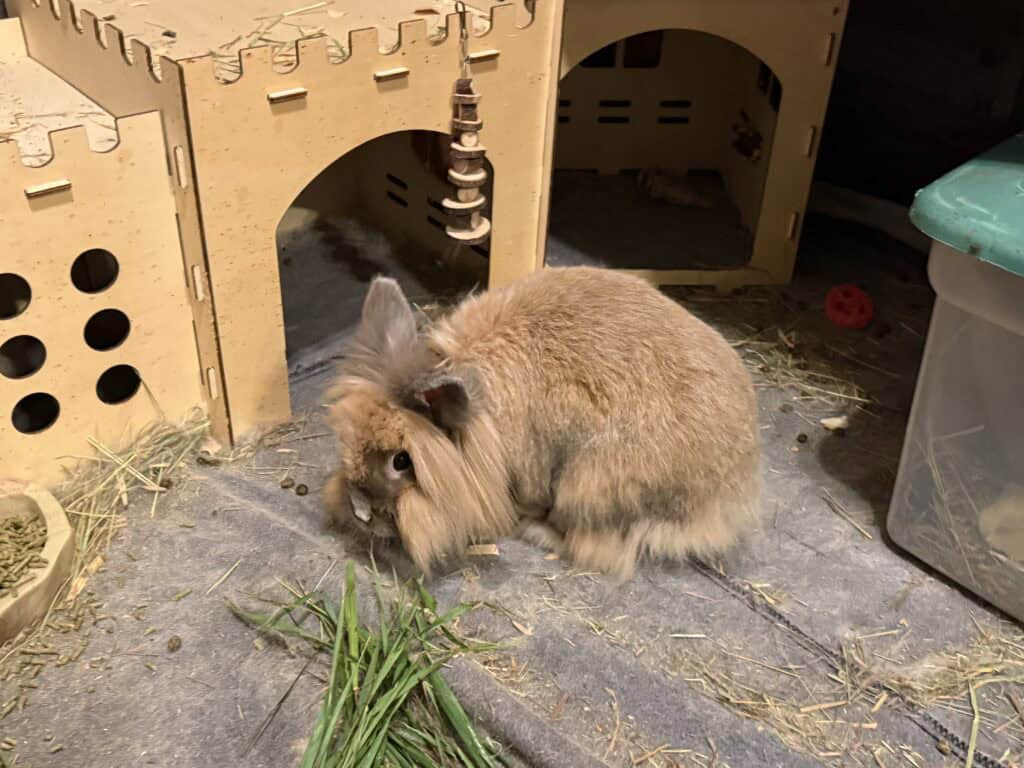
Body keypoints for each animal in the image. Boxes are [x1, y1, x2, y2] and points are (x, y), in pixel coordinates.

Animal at [323, 266, 760, 580]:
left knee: (598, 545)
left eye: (401, 462)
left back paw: (534, 530)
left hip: (588, 484)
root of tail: (729, 490)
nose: (360, 511)